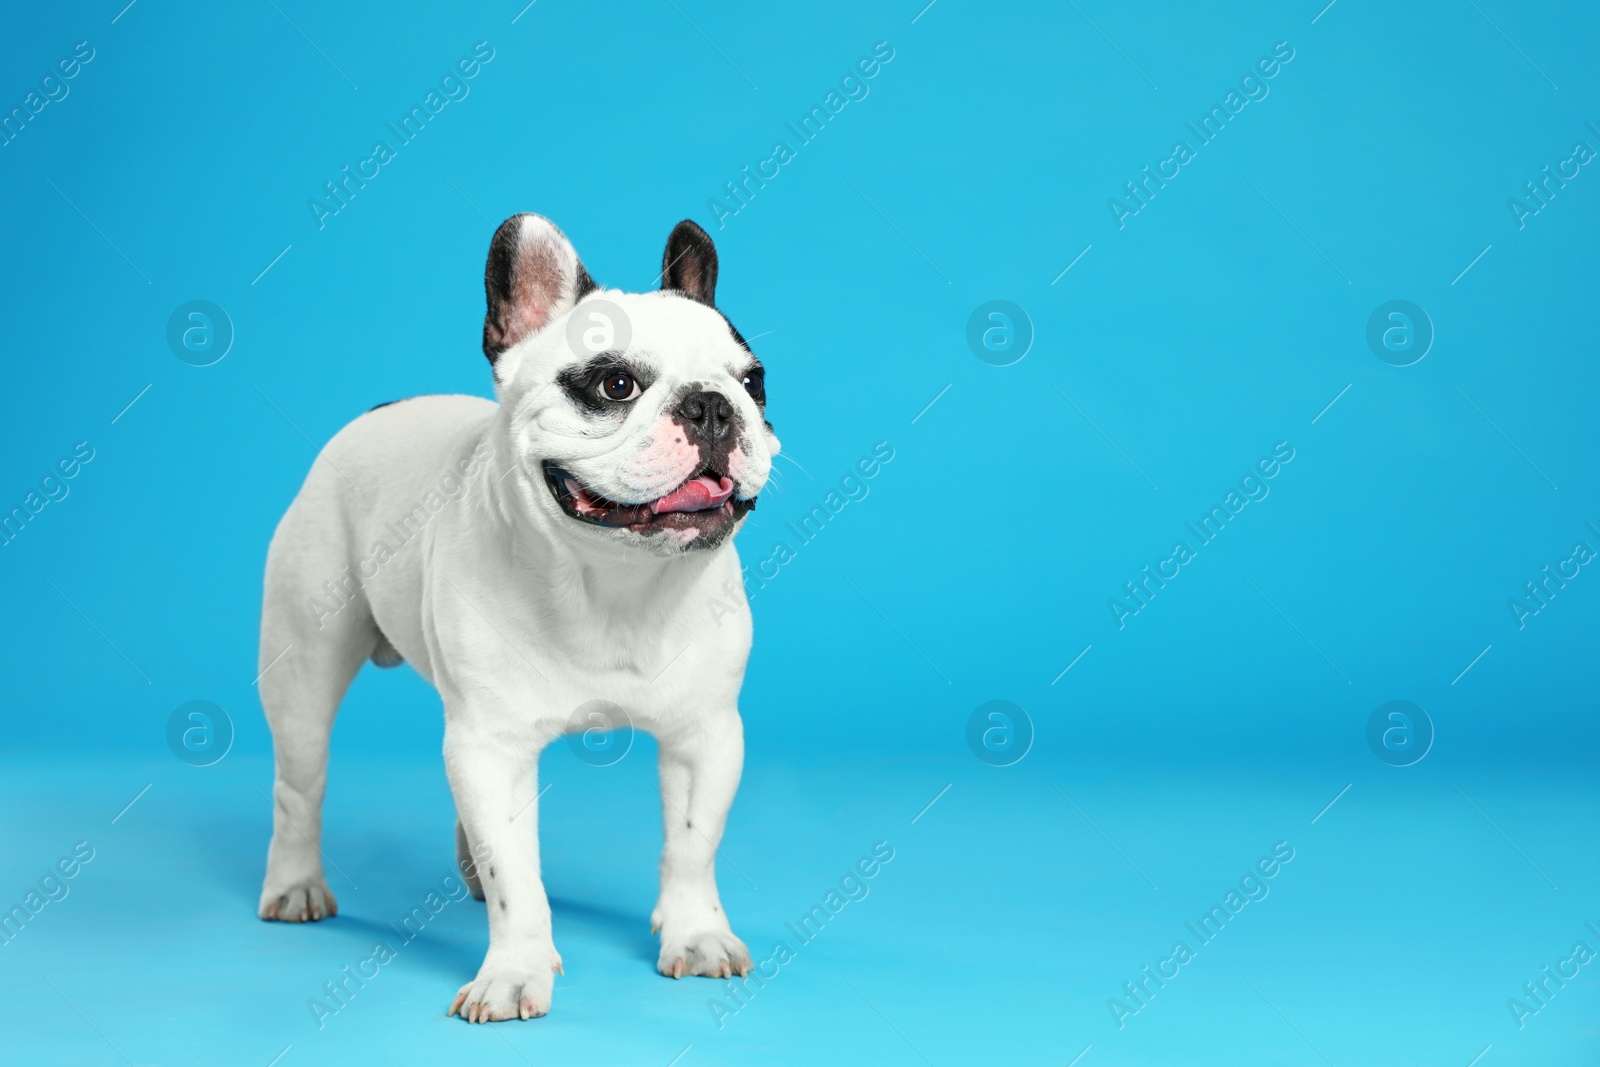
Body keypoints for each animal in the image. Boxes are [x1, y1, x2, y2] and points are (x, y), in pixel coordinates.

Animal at [257, 212, 780, 1023]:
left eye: (755, 382)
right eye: (615, 384)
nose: (713, 405)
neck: (614, 582)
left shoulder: (706, 736)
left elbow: (692, 846)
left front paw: (695, 934)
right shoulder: (492, 746)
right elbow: (518, 877)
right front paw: (513, 971)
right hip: (303, 677)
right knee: (299, 787)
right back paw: (295, 885)